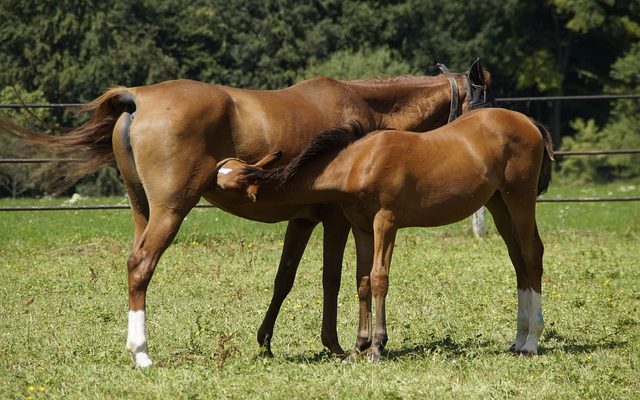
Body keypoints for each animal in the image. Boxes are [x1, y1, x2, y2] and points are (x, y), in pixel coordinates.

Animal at [0, 57, 492, 368]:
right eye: (484, 101)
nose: (483, 137)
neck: (365, 109)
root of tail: (137, 98)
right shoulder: (337, 220)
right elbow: (338, 280)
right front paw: (342, 346)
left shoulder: (303, 219)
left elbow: (284, 279)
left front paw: (266, 342)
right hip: (170, 212)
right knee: (141, 266)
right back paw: (141, 352)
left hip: (143, 210)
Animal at [218, 107, 552, 360]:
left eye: (228, 186)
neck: (360, 161)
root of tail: (527, 121)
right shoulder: (362, 227)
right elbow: (363, 281)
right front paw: (359, 345)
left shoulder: (386, 222)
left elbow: (380, 278)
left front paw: (377, 345)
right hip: (498, 204)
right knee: (518, 259)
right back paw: (518, 339)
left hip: (519, 197)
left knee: (532, 253)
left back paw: (531, 342)